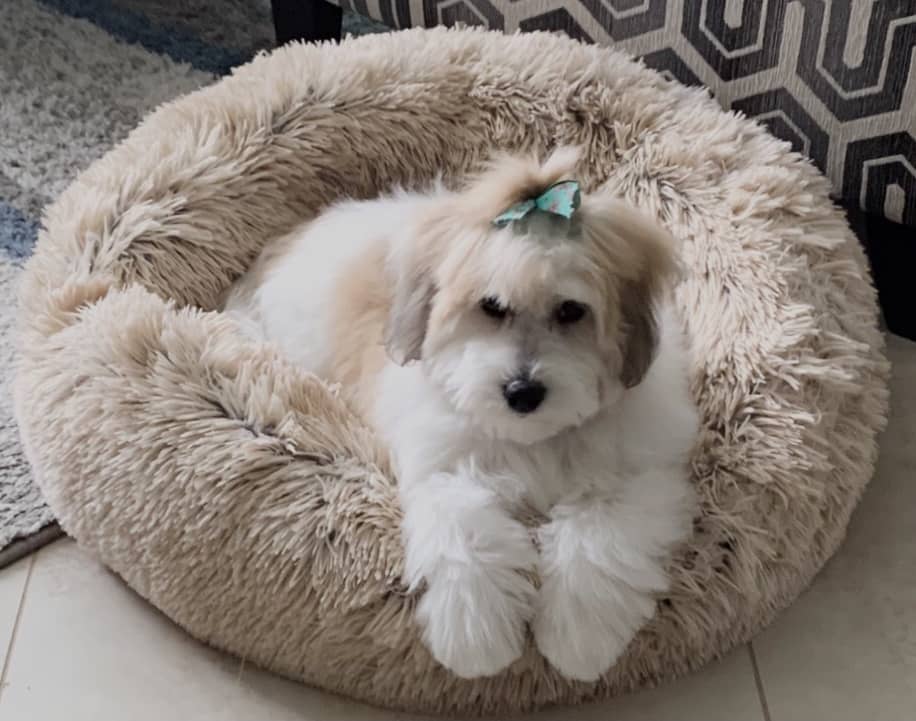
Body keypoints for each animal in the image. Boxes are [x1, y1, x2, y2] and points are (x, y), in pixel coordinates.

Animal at [222, 148, 696, 680]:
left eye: (571, 311)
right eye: (491, 306)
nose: (522, 391)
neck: (532, 438)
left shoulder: (638, 471)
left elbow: (602, 535)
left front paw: (579, 636)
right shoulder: (443, 460)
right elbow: (462, 523)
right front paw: (476, 633)